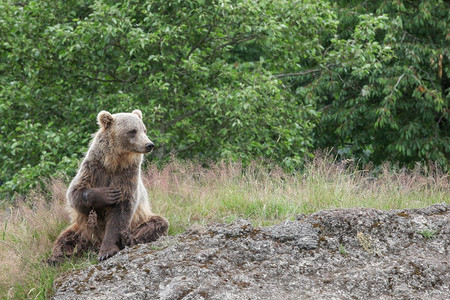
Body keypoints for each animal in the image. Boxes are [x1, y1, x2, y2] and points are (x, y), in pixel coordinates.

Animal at [48, 109, 169, 262]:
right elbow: (75, 193)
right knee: (65, 239)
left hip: (140, 219)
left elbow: (121, 212)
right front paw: (108, 194)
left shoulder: (127, 175)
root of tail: (93, 244)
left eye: (144, 129)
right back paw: (56, 257)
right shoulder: (93, 169)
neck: (114, 162)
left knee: (158, 223)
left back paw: (129, 238)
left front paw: (106, 251)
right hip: (83, 229)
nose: (149, 144)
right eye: (132, 130)